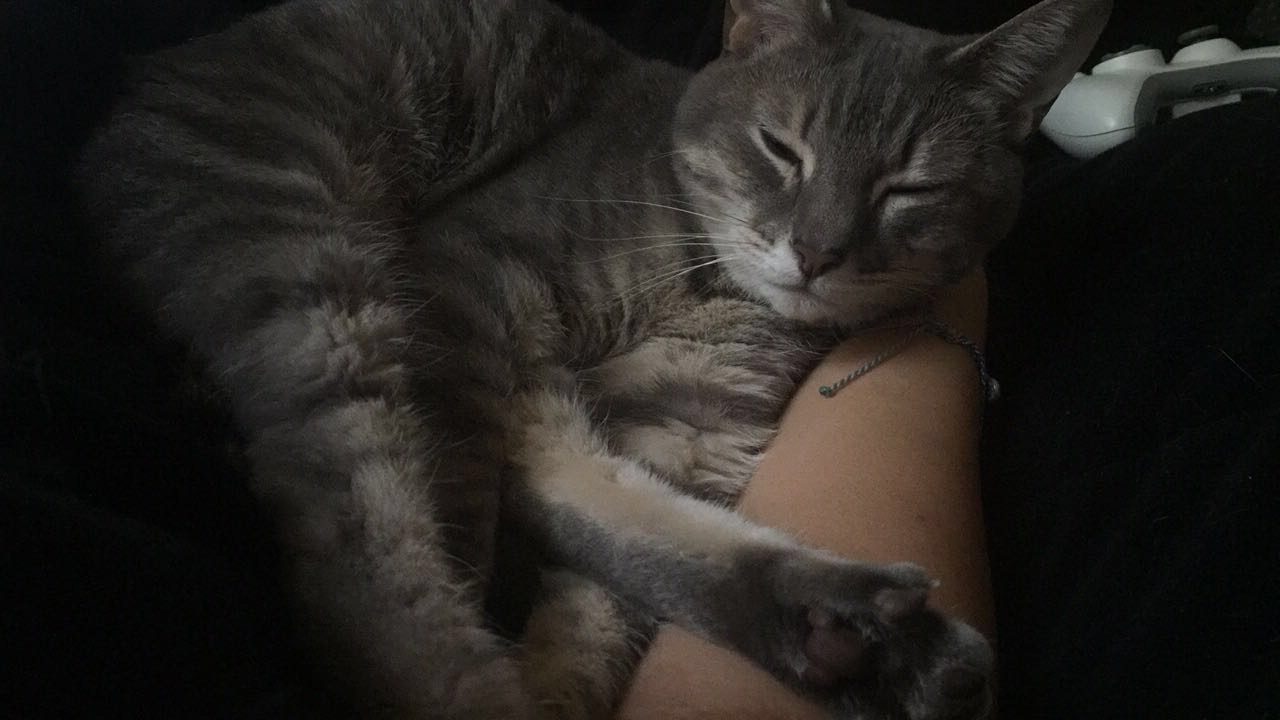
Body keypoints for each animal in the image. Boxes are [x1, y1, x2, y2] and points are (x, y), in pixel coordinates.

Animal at [75, 0, 1110, 717]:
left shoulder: (687, 426)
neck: (705, 282)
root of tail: (134, 99)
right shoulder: (461, 276)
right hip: (312, 273)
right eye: (782, 149)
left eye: (909, 188)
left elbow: (606, 602)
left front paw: (565, 673)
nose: (817, 253)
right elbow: (462, 495)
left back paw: (846, 632)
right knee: (362, 567)